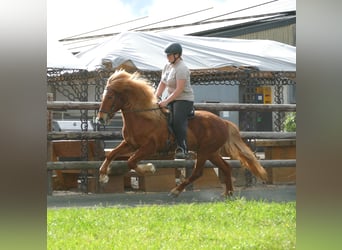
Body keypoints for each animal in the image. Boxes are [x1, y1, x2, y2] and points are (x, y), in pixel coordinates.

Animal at [96, 70, 268, 197]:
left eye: (110, 96)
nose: (100, 119)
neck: (143, 117)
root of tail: (223, 122)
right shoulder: (130, 144)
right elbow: (111, 154)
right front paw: (103, 176)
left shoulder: (149, 147)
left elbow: (131, 161)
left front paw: (149, 168)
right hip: (211, 152)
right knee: (226, 167)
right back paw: (228, 193)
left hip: (205, 152)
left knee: (198, 172)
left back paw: (176, 191)